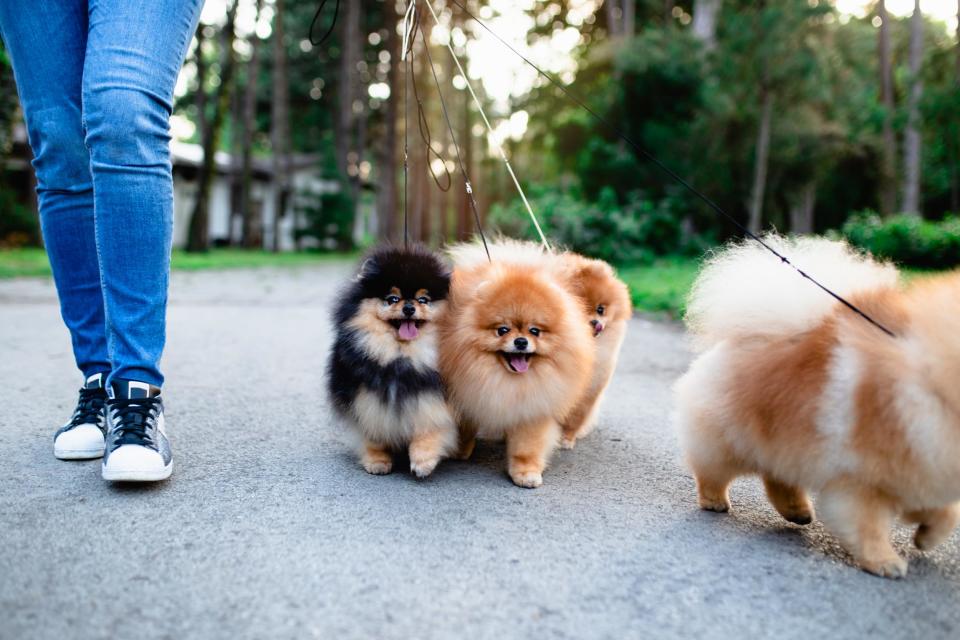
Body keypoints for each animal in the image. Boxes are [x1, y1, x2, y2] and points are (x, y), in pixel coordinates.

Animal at [326, 248, 458, 478]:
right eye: (392, 298)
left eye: (423, 299)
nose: (409, 307)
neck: (400, 356)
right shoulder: (364, 398)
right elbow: (372, 431)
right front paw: (377, 460)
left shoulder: (433, 397)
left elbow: (431, 425)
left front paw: (423, 460)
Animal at [440, 252, 592, 488]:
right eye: (502, 330)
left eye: (535, 331)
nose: (521, 341)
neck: (509, 382)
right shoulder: (467, 391)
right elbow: (464, 425)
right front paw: (461, 449)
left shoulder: (533, 407)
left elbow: (527, 446)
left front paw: (525, 472)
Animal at [672, 234, 960, 576]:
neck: (930, 380)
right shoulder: (861, 480)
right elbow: (868, 526)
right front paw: (884, 562)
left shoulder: (923, 472)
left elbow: (947, 513)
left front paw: (926, 538)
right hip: (728, 442)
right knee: (712, 470)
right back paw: (715, 500)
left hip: (785, 445)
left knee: (777, 478)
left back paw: (797, 511)